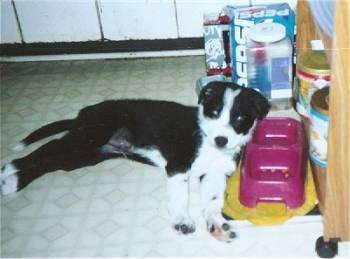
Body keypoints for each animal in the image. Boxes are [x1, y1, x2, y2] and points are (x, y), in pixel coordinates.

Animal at [0, 81, 268, 242]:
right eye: (214, 112)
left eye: (240, 118)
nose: (221, 140)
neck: (206, 138)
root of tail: (83, 113)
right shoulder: (178, 165)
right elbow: (180, 195)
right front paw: (182, 220)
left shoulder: (215, 172)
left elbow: (212, 199)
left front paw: (215, 223)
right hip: (89, 136)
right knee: (48, 149)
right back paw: (9, 171)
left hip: (87, 155)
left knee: (52, 161)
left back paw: (14, 179)